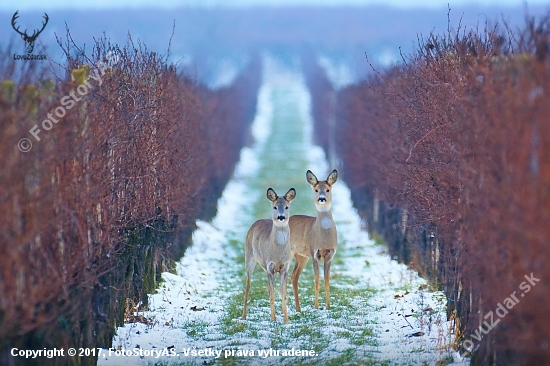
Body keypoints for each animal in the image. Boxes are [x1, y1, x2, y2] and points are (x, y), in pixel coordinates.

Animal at [244, 189, 298, 324]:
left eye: (286, 206)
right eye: (275, 207)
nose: (281, 217)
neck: (278, 253)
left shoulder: (285, 268)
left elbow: (283, 295)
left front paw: (286, 320)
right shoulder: (270, 267)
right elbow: (273, 295)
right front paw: (273, 319)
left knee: (267, 288)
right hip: (249, 257)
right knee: (247, 286)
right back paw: (243, 316)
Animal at [292, 170, 338, 310]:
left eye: (328, 189)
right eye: (316, 189)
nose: (321, 198)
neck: (324, 239)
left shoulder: (330, 255)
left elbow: (327, 281)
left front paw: (328, 306)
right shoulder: (314, 253)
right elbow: (317, 281)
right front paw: (316, 307)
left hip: (301, 256)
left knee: (294, 276)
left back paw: (298, 308)